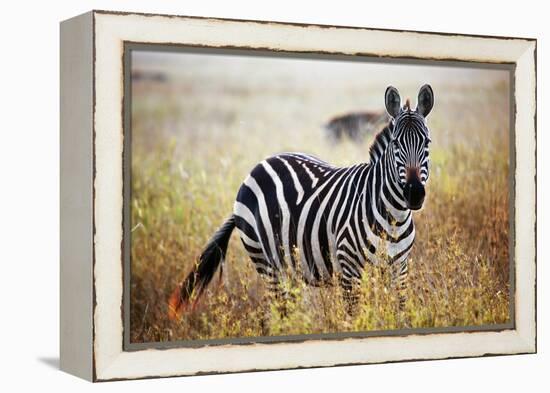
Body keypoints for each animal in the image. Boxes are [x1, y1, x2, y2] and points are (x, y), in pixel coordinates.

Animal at [168, 83, 436, 318]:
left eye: (427, 142)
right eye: (396, 143)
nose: (414, 193)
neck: (393, 216)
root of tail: (260, 164)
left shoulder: (399, 268)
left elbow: (399, 312)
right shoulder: (349, 269)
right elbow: (355, 317)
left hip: (291, 266)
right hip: (266, 263)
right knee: (280, 313)